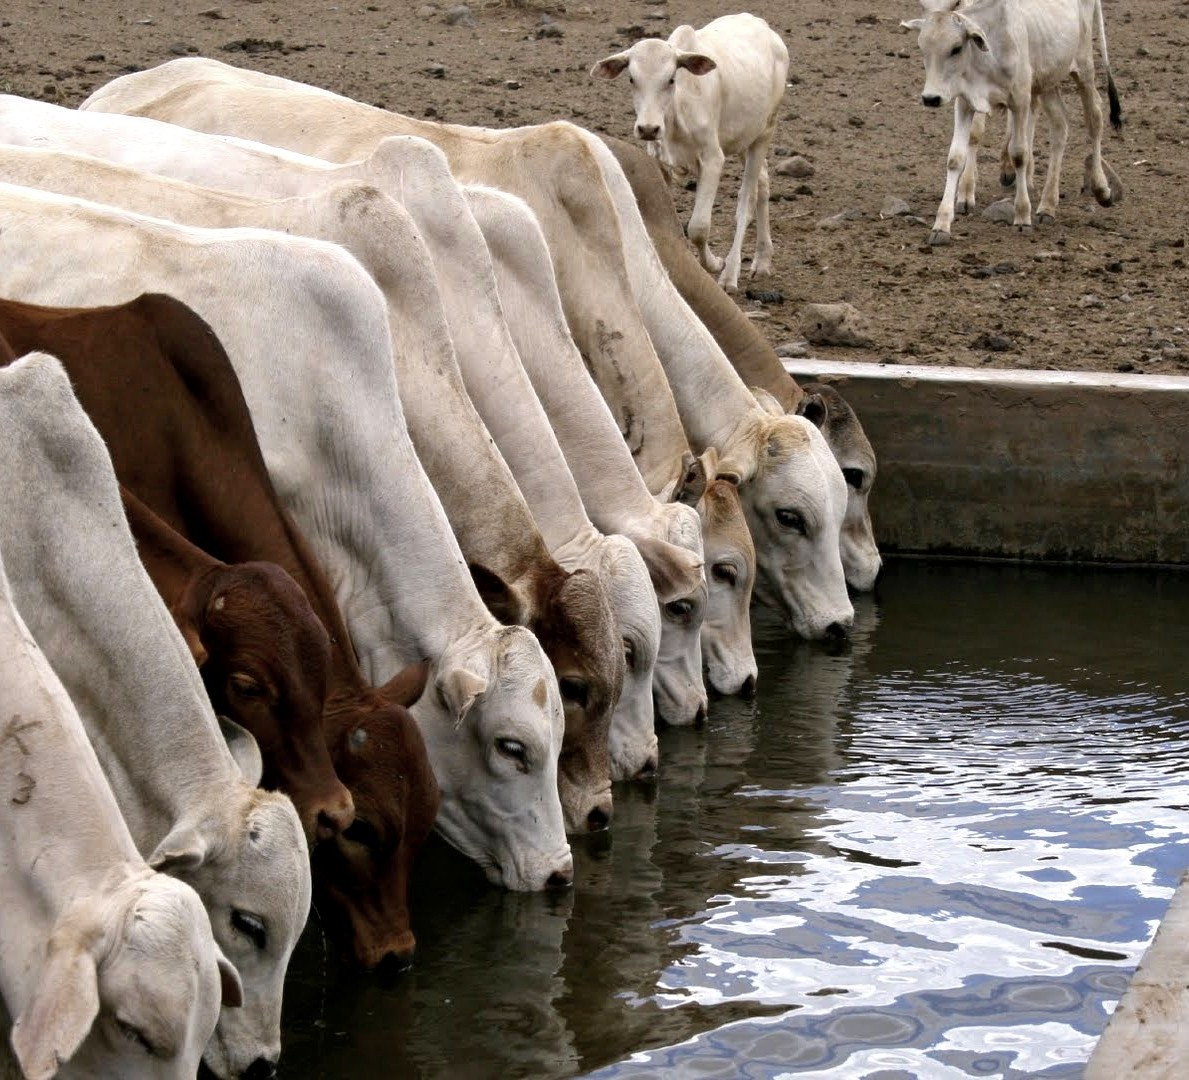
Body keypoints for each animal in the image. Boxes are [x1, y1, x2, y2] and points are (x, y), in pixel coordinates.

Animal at [587, 13, 789, 291]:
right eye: (631, 79)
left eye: (671, 79)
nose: (648, 128)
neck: (676, 110)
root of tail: (762, 25)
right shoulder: (660, 162)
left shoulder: (713, 158)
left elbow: (698, 227)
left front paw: (714, 263)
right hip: (744, 137)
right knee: (764, 181)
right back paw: (762, 260)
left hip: (766, 130)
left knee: (747, 200)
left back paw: (731, 273)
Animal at [898, 0, 1122, 245]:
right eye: (922, 48)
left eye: (956, 48)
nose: (930, 98)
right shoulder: (965, 103)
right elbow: (955, 158)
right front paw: (942, 224)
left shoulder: (1020, 101)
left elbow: (1019, 154)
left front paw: (1022, 216)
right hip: (1047, 81)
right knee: (1060, 125)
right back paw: (1047, 206)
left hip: (1084, 69)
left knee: (1095, 119)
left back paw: (1101, 189)